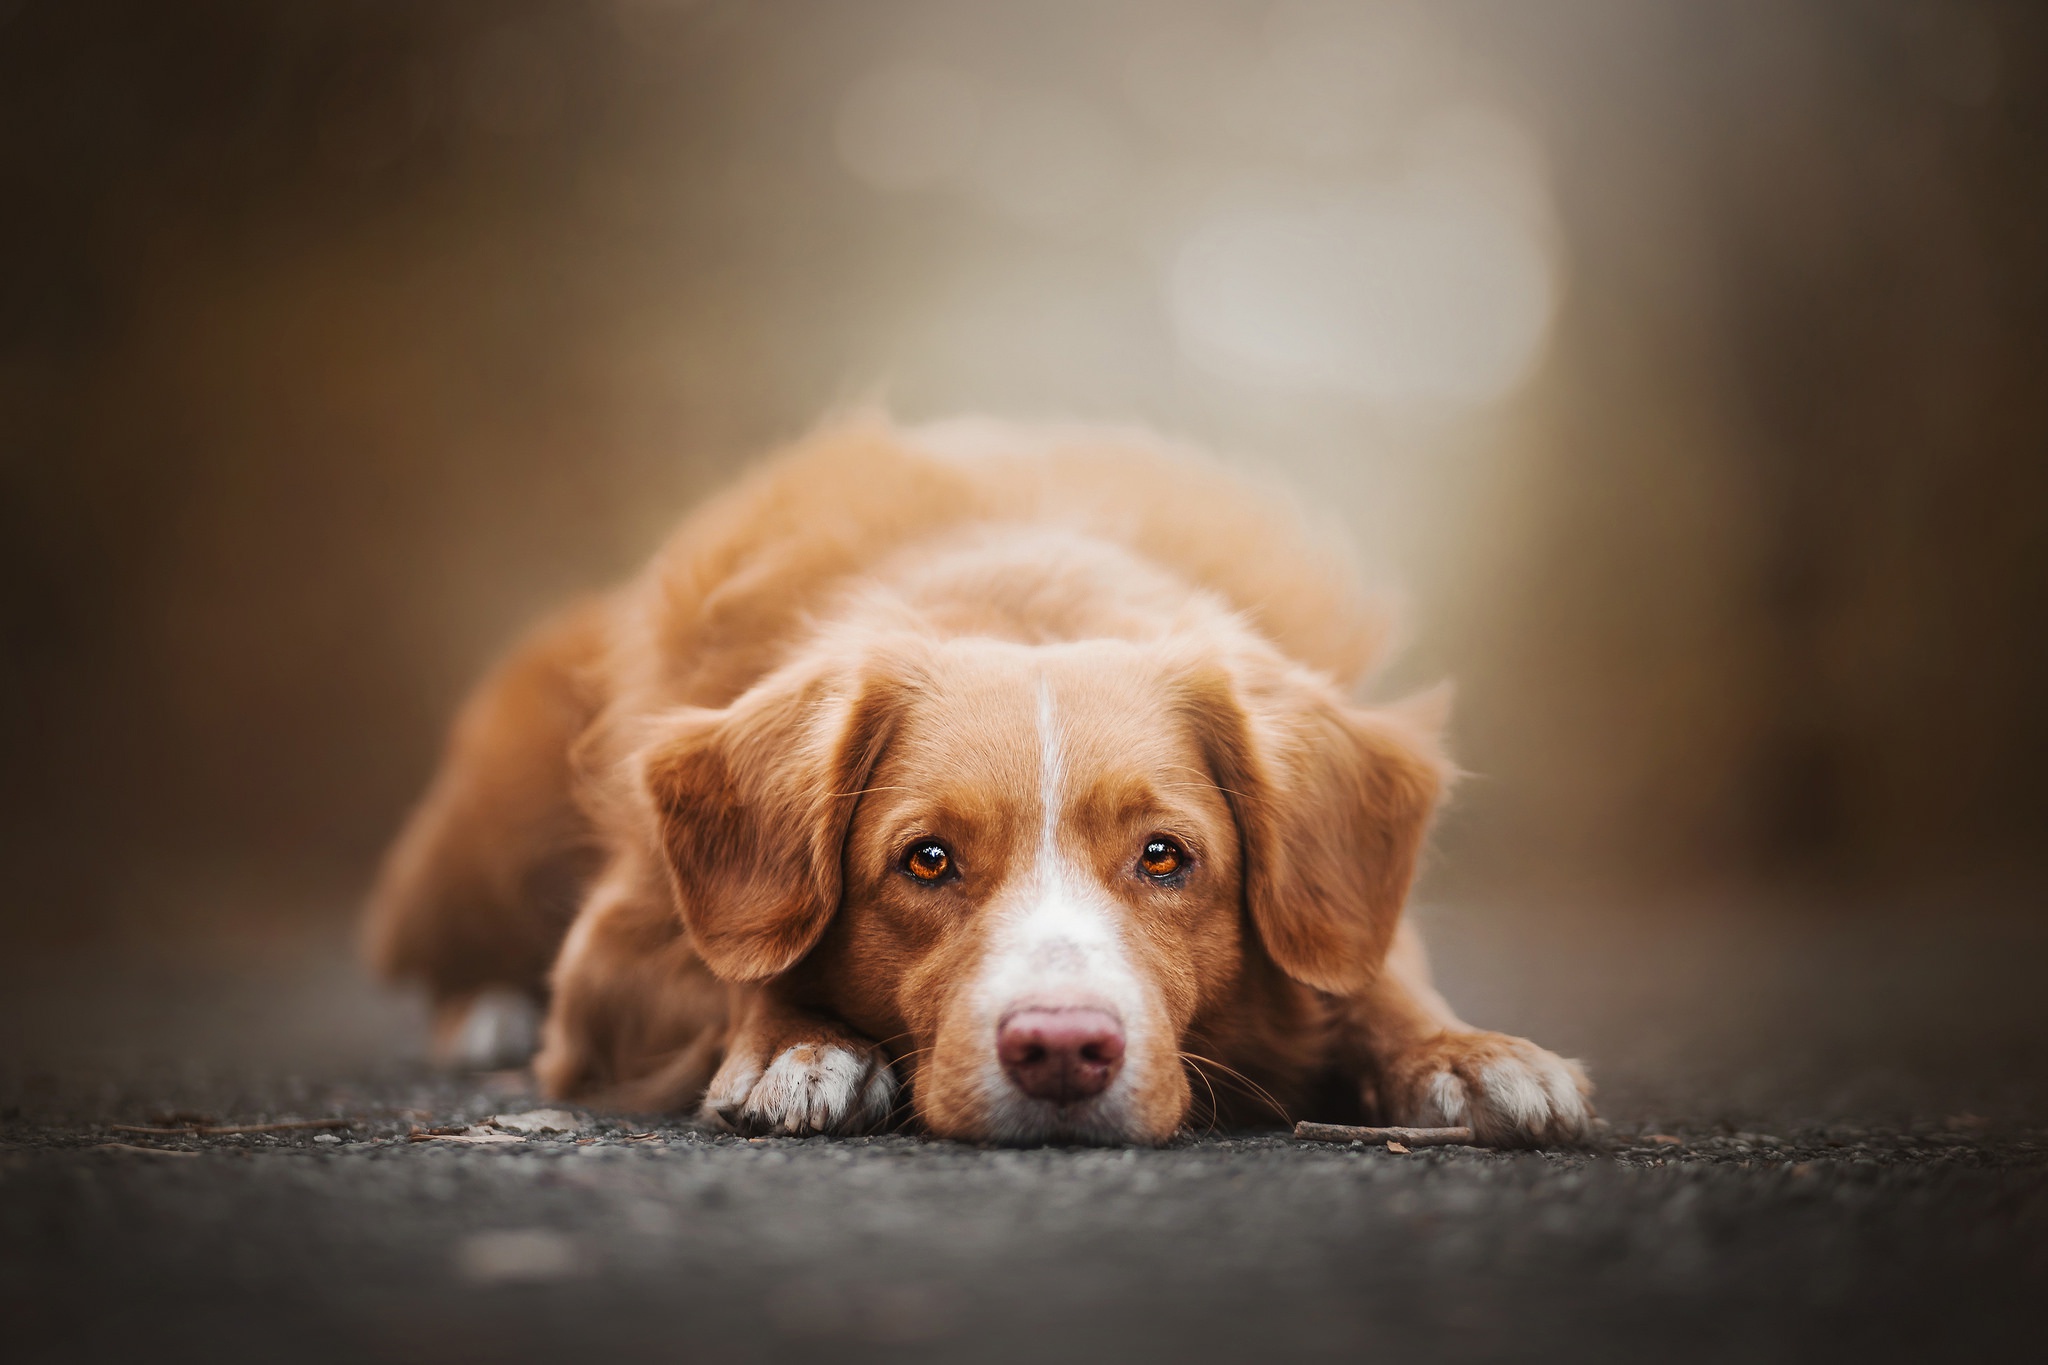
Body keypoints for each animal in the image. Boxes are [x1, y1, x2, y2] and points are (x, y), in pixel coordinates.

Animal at [360, 413, 1589, 1146]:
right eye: (928, 860)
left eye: (1164, 856)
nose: (1063, 1052)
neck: (1021, 600)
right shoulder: (619, 948)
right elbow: (726, 973)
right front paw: (796, 1045)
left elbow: (1374, 981)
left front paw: (1467, 1055)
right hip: (487, 832)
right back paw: (485, 1011)